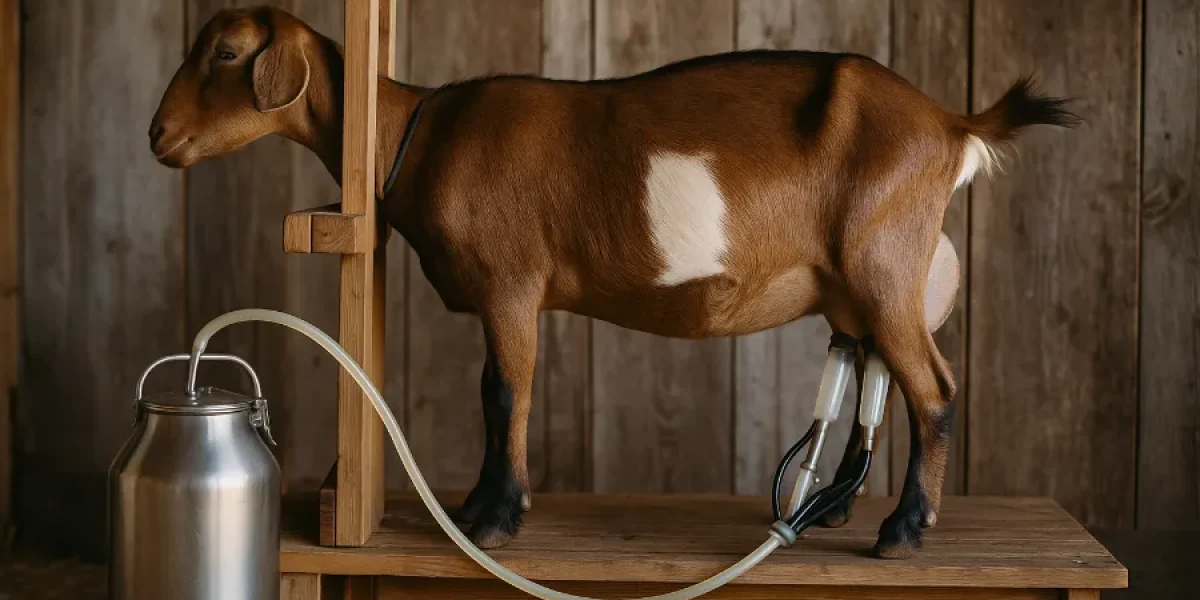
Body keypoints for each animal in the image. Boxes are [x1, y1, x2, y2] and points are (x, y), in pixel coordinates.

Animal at [149, 6, 1077, 558]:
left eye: (225, 51)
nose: (158, 136)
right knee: (881, 372)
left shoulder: (510, 283)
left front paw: (494, 517)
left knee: (936, 390)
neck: (413, 129)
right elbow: (498, 390)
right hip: (864, 283)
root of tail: (955, 123)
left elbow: (505, 390)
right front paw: (486, 506)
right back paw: (839, 509)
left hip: (886, 263)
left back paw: (904, 530)